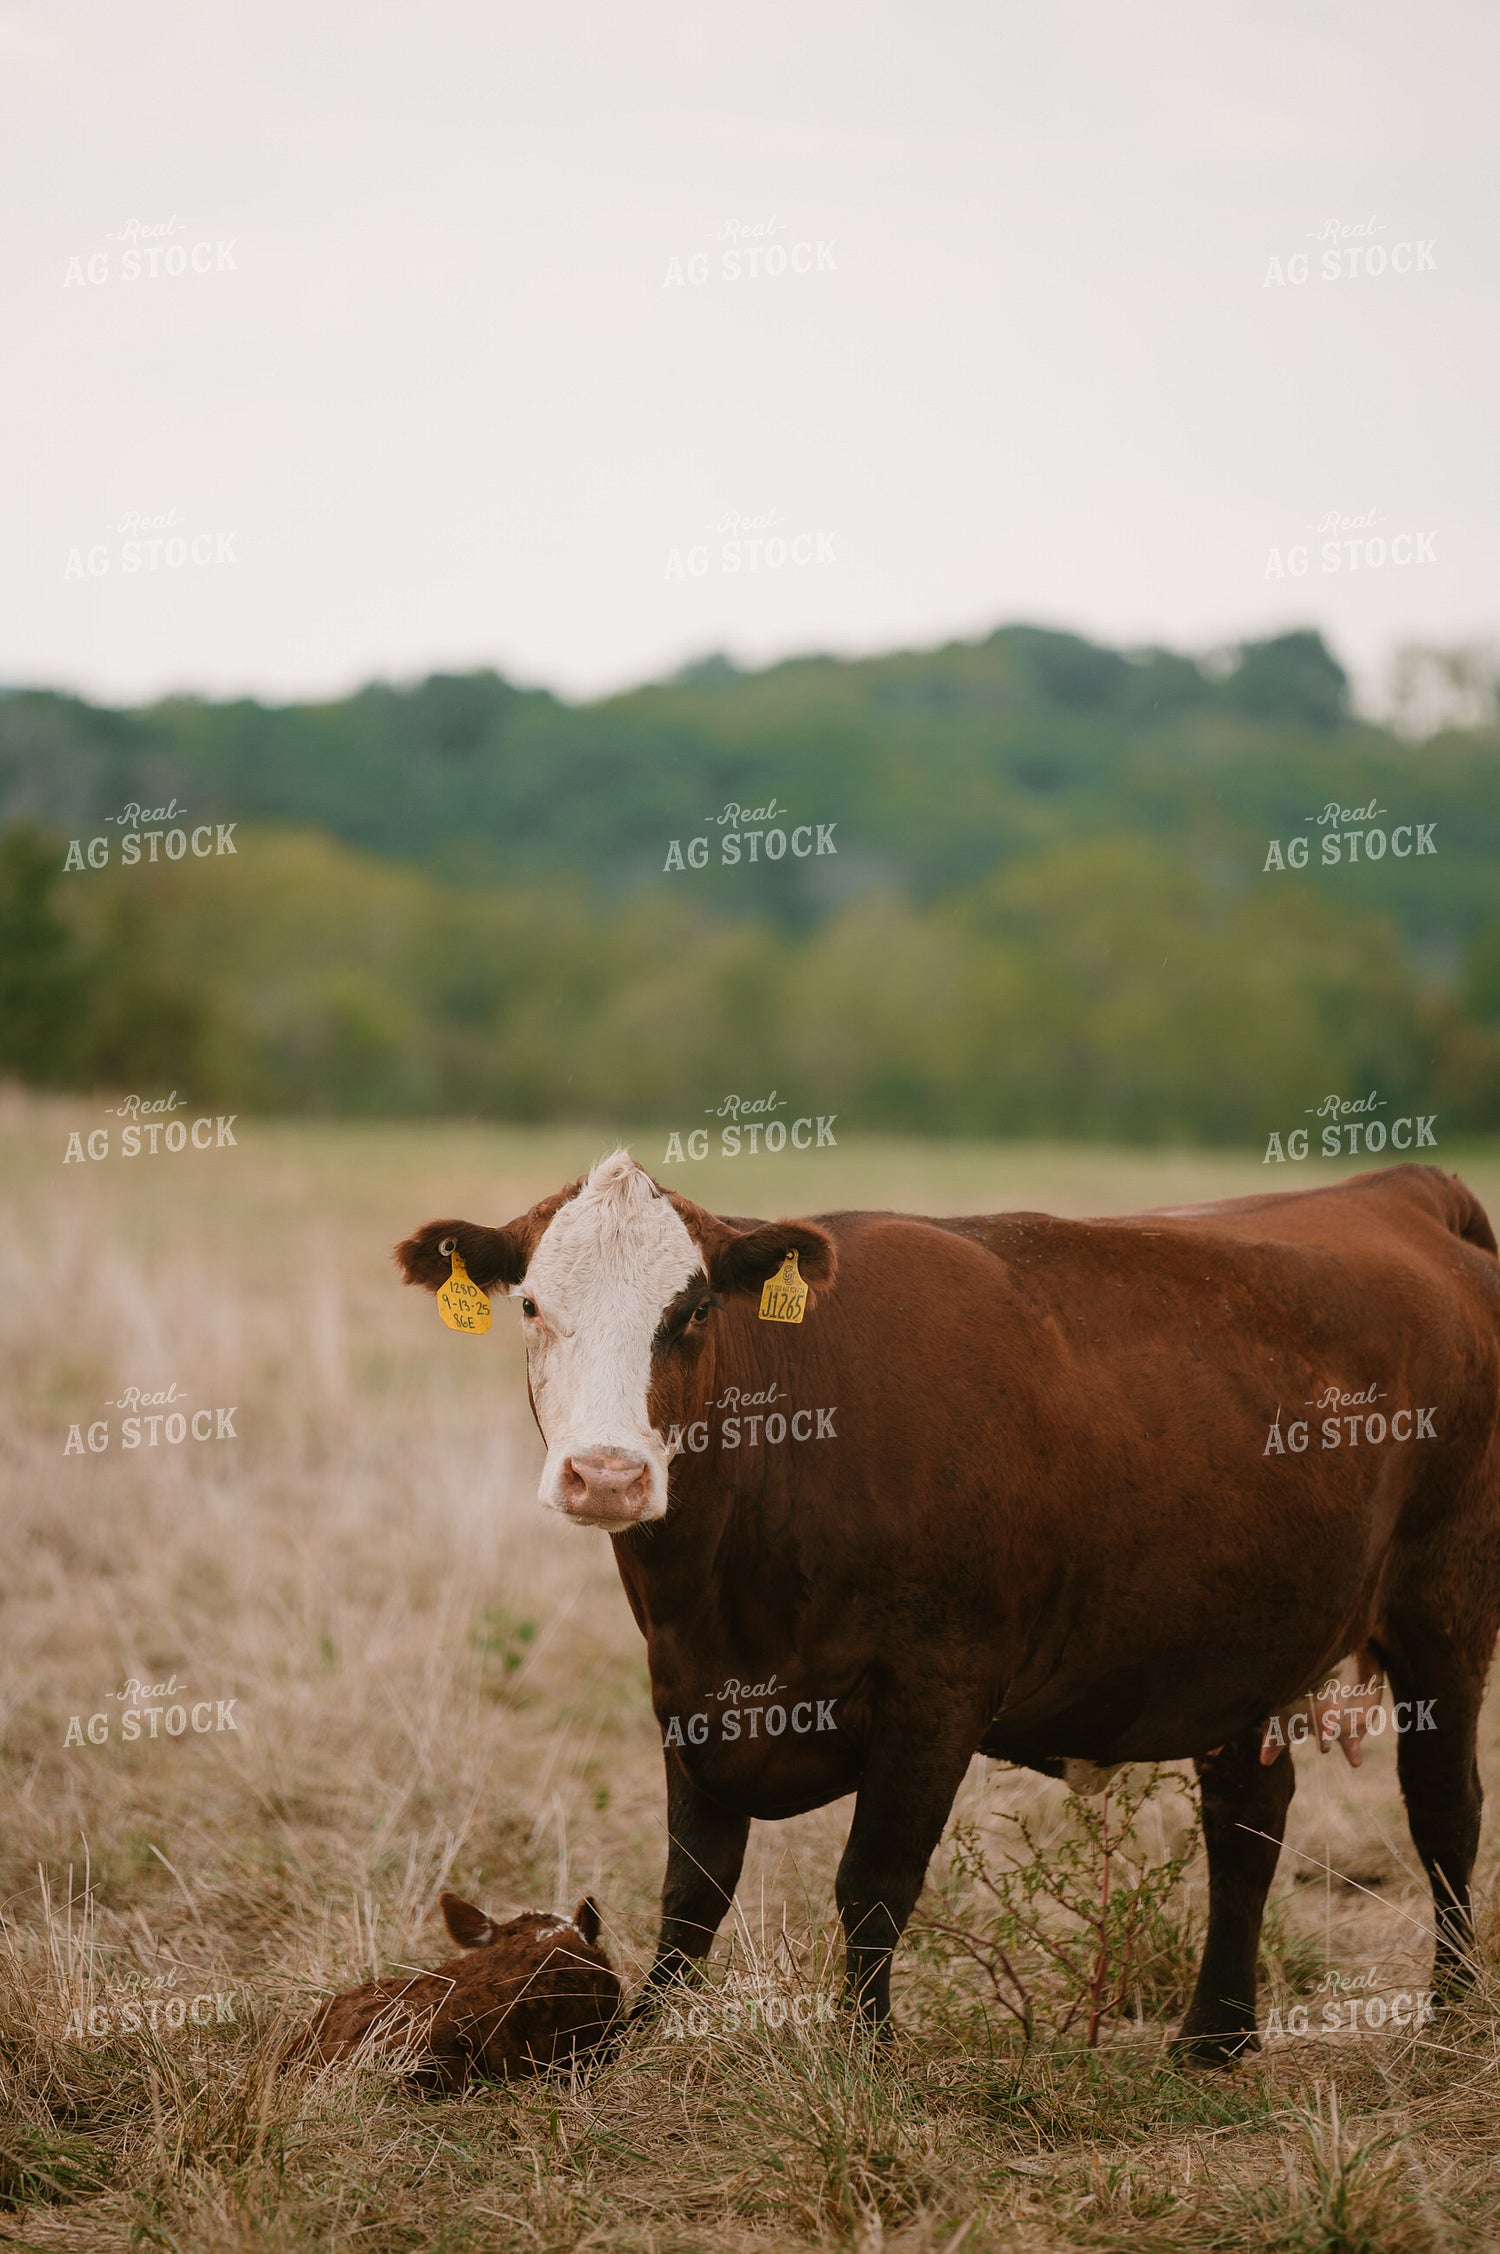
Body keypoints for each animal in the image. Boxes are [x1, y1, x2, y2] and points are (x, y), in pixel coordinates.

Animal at [396, 1153, 1500, 2062]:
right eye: (531, 1305)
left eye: (696, 1308)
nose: (607, 1476)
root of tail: (1402, 1193)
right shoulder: (689, 1688)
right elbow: (692, 1888)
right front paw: (637, 2042)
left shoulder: (937, 1686)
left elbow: (874, 1880)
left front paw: (864, 2053)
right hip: (1247, 1649)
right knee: (1248, 1826)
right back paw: (1214, 2037)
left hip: (1445, 1612)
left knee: (1444, 1809)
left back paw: (1449, 2013)